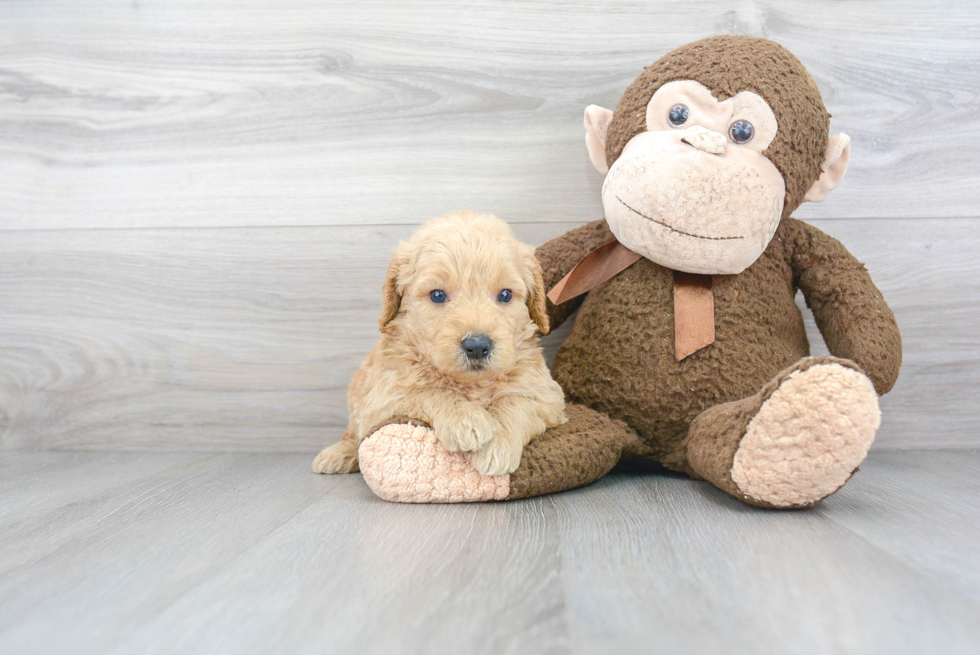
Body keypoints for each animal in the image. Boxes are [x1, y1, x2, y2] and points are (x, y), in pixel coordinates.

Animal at [314, 210, 568, 476]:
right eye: (437, 295)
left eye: (505, 294)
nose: (477, 346)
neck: (471, 384)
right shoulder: (385, 396)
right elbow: (429, 391)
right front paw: (464, 419)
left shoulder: (547, 396)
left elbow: (516, 402)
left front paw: (497, 442)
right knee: (352, 435)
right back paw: (337, 455)